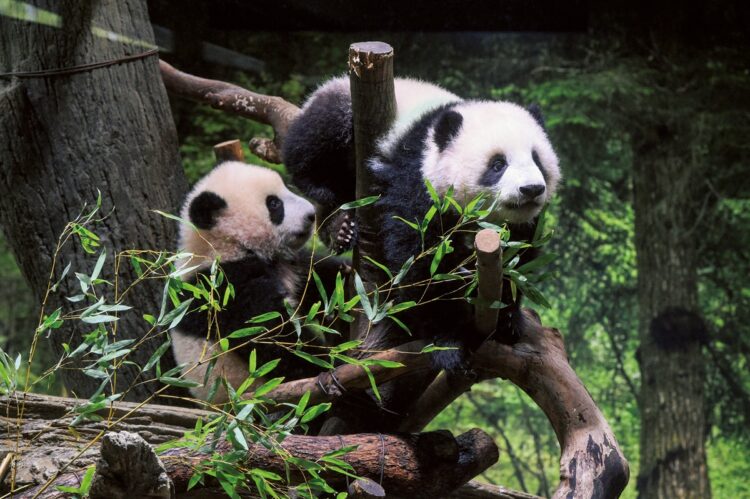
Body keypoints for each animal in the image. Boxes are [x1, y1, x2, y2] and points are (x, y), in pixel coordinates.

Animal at [170, 162, 346, 404]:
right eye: (274, 204)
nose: (311, 215)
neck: (225, 245)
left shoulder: (289, 265)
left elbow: (319, 279)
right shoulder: (225, 289)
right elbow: (272, 338)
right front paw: (330, 365)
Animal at [284, 74, 560, 372]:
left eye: (537, 159)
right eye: (498, 164)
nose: (531, 189)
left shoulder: (519, 225)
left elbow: (518, 258)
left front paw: (508, 318)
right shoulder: (416, 178)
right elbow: (419, 261)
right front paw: (448, 341)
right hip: (340, 104)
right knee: (315, 139)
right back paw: (333, 212)